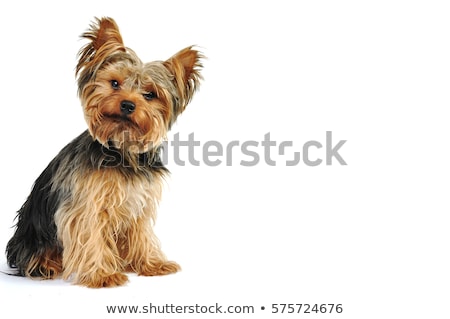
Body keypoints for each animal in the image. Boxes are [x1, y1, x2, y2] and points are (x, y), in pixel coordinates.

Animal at [6, 16, 203, 288]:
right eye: (114, 83)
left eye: (150, 94)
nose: (128, 104)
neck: (122, 150)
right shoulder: (87, 205)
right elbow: (92, 235)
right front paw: (102, 274)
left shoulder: (139, 203)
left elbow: (142, 233)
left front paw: (151, 264)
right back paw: (46, 264)